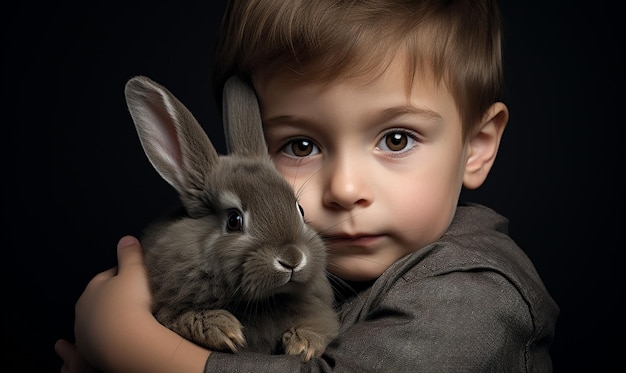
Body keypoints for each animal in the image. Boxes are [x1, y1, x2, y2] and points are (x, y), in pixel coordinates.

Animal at [122, 75, 336, 360]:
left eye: (300, 210)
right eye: (234, 220)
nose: (292, 259)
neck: (268, 300)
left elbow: (318, 324)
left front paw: (303, 345)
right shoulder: (168, 312)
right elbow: (187, 317)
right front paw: (224, 331)